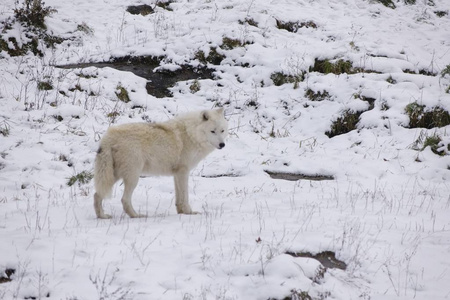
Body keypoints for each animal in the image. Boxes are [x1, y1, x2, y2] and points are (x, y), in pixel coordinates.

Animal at [94, 108, 229, 218]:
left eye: (222, 131)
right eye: (212, 131)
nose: (222, 145)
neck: (191, 134)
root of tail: (108, 137)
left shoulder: (177, 174)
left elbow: (179, 197)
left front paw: (181, 212)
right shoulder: (183, 172)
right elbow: (185, 196)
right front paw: (189, 212)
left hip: (112, 176)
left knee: (97, 194)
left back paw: (102, 216)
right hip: (133, 177)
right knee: (124, 200)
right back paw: (137, 215)